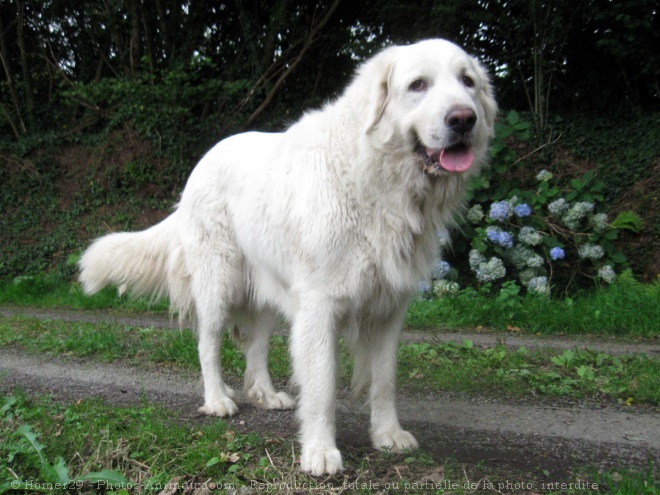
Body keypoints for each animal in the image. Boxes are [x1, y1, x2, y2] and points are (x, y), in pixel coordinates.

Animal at [80, 39, 496, 476]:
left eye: (467, 81)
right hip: (218, 283)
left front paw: (388, 435)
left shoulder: (387, 310)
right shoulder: (320, 306)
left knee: (256, 345)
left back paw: (265, 395)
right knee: (208, 344)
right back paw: (218, 400)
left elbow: (384, 380)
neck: (374, 178)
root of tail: (202, 163)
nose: (464, 119)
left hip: (267, 290)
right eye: (418, 84)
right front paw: (320, 452)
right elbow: (322, 383)